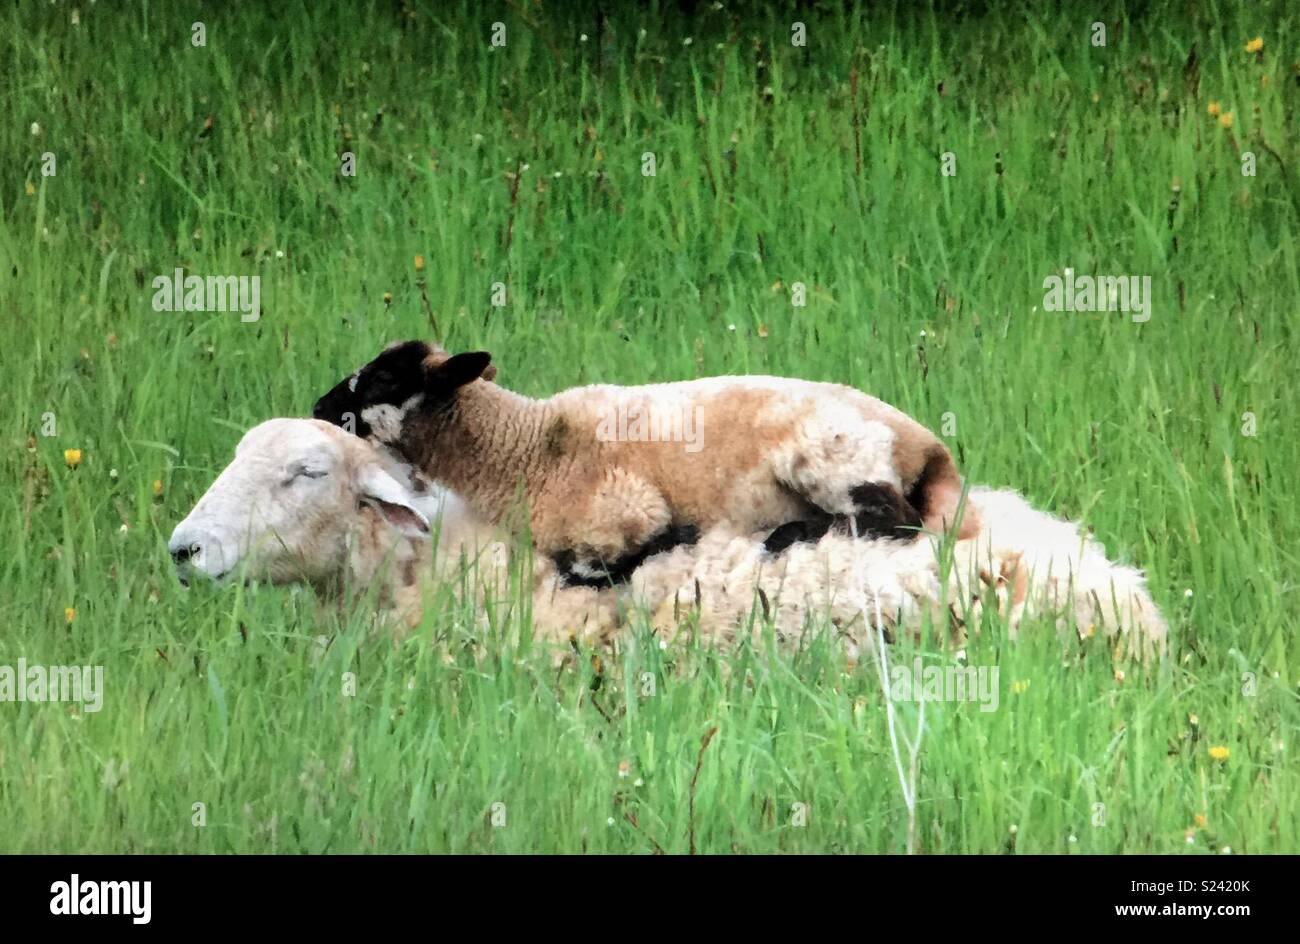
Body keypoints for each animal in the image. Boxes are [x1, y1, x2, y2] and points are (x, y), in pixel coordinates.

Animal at [310, 340, 981, 586]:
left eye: (382, 378)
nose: (318, 406)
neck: (527, 446)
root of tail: (927, 442)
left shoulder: (624, 508)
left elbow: (594, 565)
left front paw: (674, 540)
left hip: (833, 451)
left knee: (894, 518)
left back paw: (787, 533)